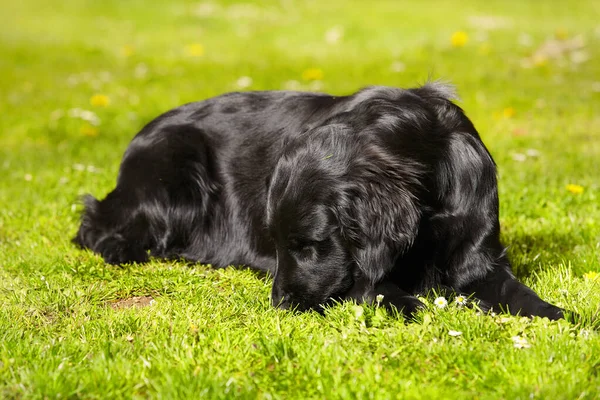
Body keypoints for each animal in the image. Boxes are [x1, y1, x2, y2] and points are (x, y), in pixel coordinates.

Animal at [72, 83, 564, 320]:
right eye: (277, 243)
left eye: (309, 245)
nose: (279, 304)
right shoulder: (362, 271)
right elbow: (377, 287)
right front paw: (410, 304)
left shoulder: (480, 259)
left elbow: (518, 294)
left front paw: (561, 316)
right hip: (179, 172)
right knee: (96, 224)